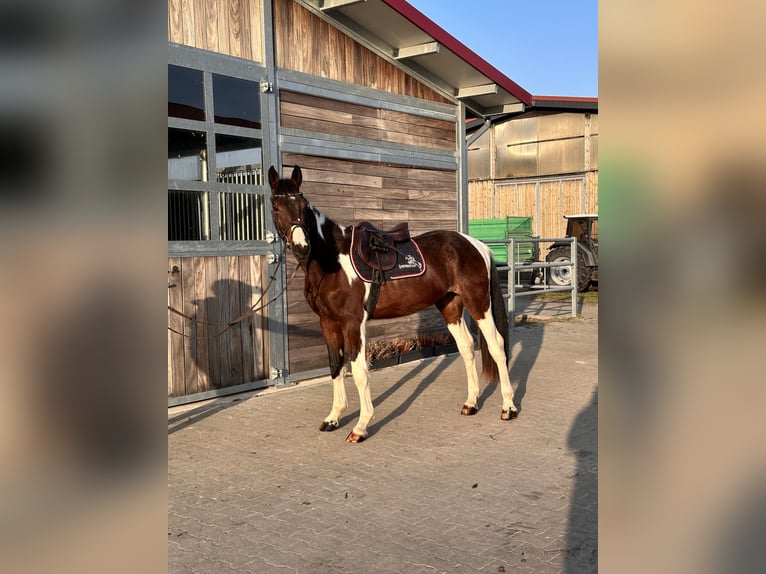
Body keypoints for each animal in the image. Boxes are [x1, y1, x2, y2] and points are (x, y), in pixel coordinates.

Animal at [268, 165, 518, 442]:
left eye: (302, 206)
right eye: (276, 206)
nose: (302, 246)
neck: (333, 262)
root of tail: (475, 245)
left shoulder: (353, 322)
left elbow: (359, 371)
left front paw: (360, 427)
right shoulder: (328, 323)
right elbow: (336, 365)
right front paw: (333, 418)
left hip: (479, 303)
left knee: (497, 346)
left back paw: (508, 407)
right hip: (450, 306)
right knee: (466, 347)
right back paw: (471, 403)